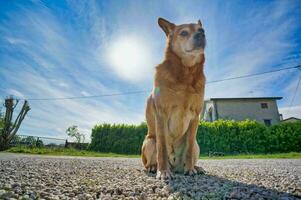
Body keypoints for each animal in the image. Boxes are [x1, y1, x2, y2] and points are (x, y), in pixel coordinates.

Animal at [142, 18, 205, 179]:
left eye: (202, 30)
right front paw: (163, 171)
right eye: (183, 33)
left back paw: (196, 167)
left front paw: (190, 169)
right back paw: (153, 167)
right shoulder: (161, 114)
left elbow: (189, 148)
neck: (186, 74)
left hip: (197, 145)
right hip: (149, 141)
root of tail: (176, 166)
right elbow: (162, 147)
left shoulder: (195, 117)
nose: (201, 34)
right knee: (150, 160)